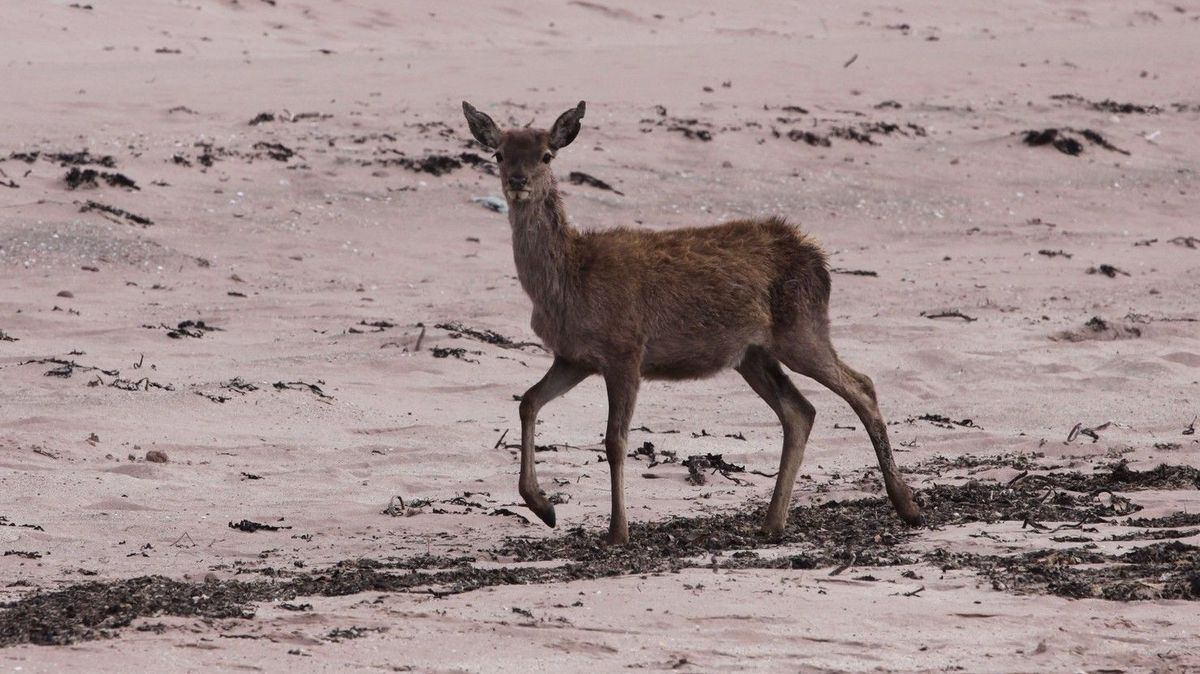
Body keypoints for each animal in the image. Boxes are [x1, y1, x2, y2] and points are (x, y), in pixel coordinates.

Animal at [463, 99, 921, 542]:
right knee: (800, 411)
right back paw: (772, 522)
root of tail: (816, 256)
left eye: (546, 155)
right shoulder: (574, 357)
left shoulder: (625, 348)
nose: (517, 180)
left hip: (802, 329)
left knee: (862, 386)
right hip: (753, 354)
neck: (570, 280)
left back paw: (907, 506)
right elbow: (528, 401)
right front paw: (544, 508)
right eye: (498, 153)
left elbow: (615, 440)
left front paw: (617, 532)